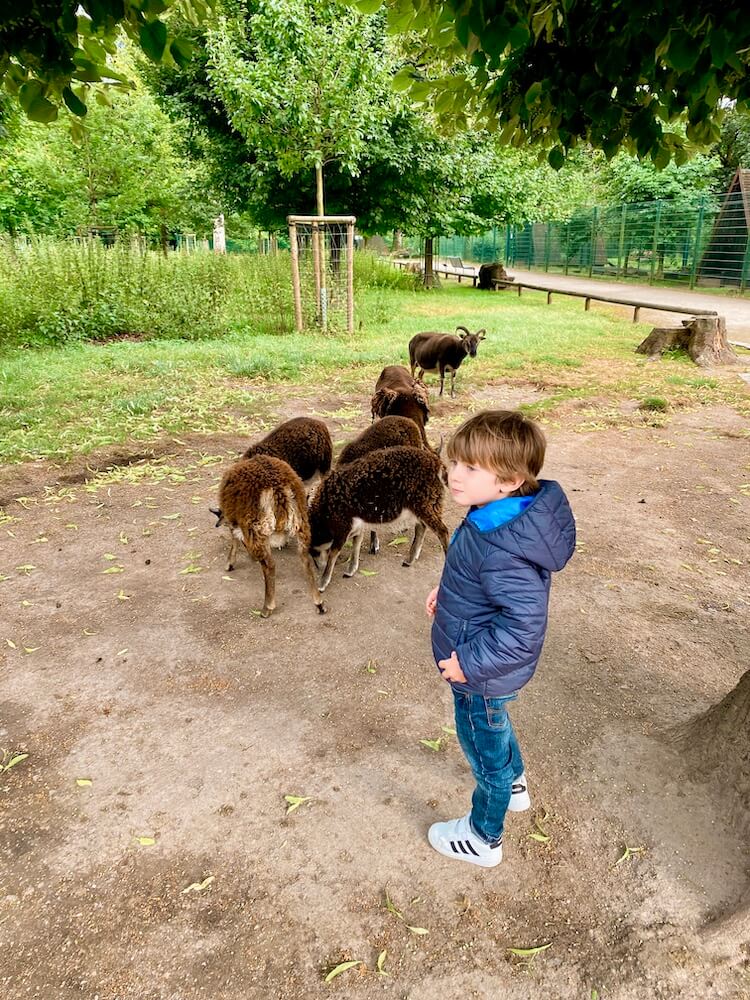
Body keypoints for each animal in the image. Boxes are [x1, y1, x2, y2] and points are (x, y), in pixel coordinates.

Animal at [213, 456, 328, 616]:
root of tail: (278, 488)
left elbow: (234, 537)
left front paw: (230, 564)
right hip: (301, 522)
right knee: (305, 559)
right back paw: (319, 603)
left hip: (257, 527)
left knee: (270, 565)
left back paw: (267, 607)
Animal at [308, 442, 450, 588]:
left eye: (312, 550)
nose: (318, 567)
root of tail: (437, 464)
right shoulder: (355, 524)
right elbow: (357, 542)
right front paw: (351, 570)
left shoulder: (342, 525)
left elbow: (334, 552)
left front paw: (323, 583)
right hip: (423, 505)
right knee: (422, 526)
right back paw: (409, 560)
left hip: (426, 502)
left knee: (442, 530)